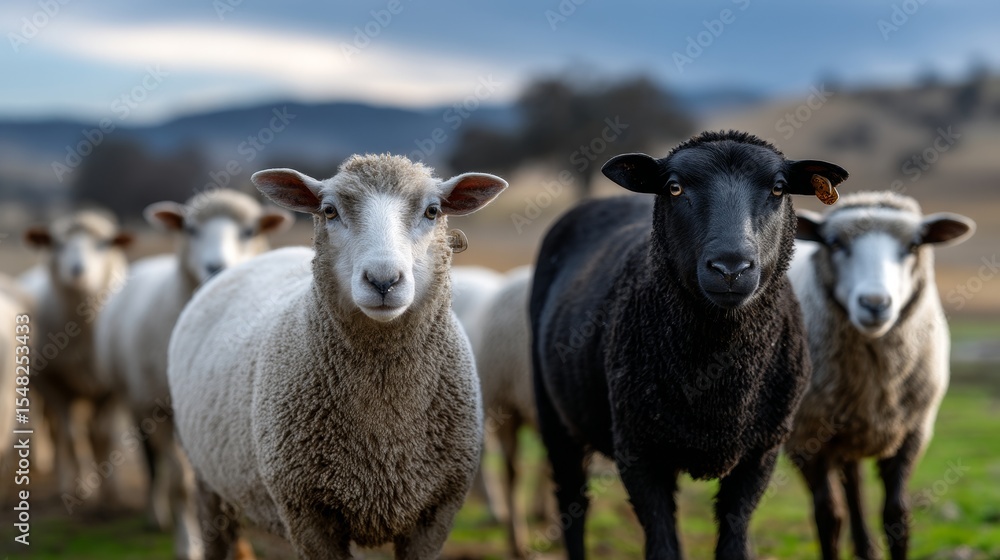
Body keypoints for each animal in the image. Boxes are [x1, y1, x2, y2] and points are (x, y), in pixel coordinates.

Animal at [18, 209, 133, 507]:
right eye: (56, 244)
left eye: (104, 244)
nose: (77, 271)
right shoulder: (54, 382)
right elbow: (71, 436)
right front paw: (82, 489)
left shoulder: (111, 389)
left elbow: (102, 435)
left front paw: (110, 493)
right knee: (50, 426)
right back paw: (53, 470)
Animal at [94, 189, 291, 557]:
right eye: (191, 230)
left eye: (249, 231)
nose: (216, 267)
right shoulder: (158, 409)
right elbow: (178, 483)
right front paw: (188, 544)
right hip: (136, 399)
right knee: (151, 461)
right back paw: (155, 515)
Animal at [167, 154, 507, 559]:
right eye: (329, 210)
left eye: (432, 210)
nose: (383, 280)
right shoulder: (306, 512)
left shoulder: (437, 513)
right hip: (206, 479)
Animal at [529, 130, 849, 559]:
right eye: (675, 187)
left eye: (779, 188)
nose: (730, 267)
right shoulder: (639, 450)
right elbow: (663, 547)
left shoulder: (759, 454)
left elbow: (733, 546)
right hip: (554, 414)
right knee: (572, 504)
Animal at [786, 191, 975, 560]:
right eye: (834, 242)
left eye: (914, 244)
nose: (875, 304)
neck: (875, 381)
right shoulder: (805, 437)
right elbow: (829, 516)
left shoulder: (912, 432)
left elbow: (896, 515)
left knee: (854, 481)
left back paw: (866, 548)